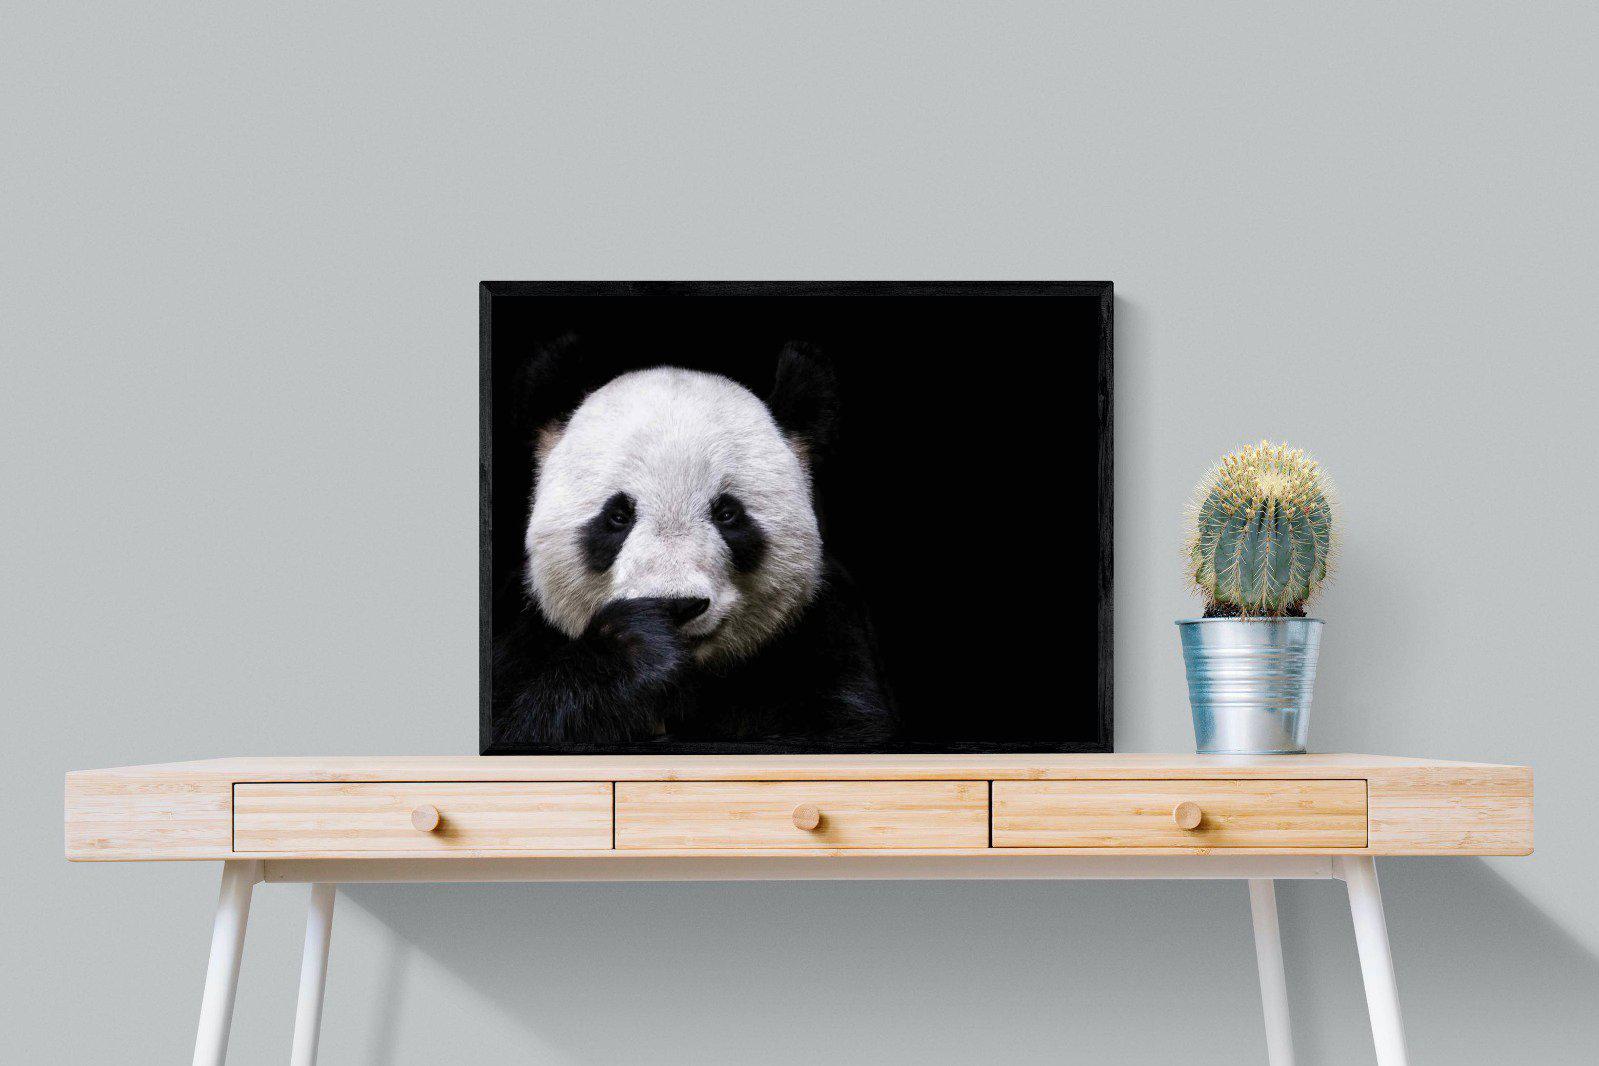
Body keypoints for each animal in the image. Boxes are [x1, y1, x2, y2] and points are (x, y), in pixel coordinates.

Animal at [491, 341, 896, 747]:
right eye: (618, 516)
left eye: (727, 514)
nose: (677, 605)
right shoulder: (521, 632)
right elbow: (520, 719)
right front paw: (637, 649)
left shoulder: (826, 633)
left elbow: (840, 726)